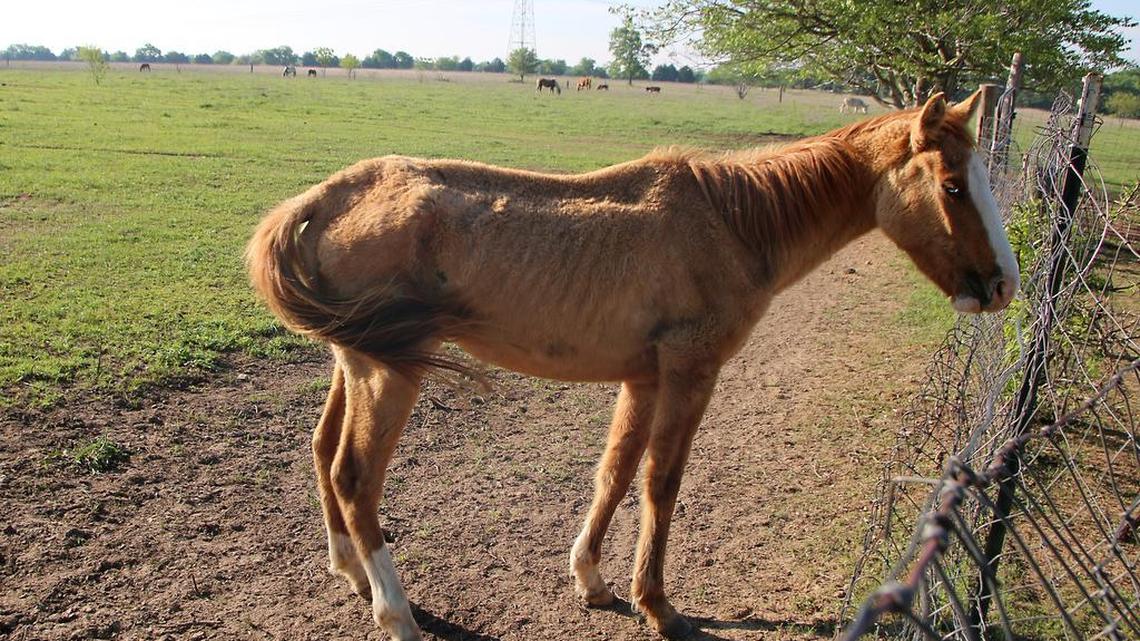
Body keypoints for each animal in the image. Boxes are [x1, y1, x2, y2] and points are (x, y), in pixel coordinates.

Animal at [246, 90, 1017, 641]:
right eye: (952, 185)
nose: (1003, 284)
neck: (731, 221)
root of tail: (329, 195)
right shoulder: (689, 373)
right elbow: (661, 484)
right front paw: (658, 605)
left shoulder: (642, 378)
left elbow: (614, 474)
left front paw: (591, 579)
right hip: (388, 376)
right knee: (354, 477)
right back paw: (396, 611)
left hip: (356, 363)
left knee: (323, 453)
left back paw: (350, 570)